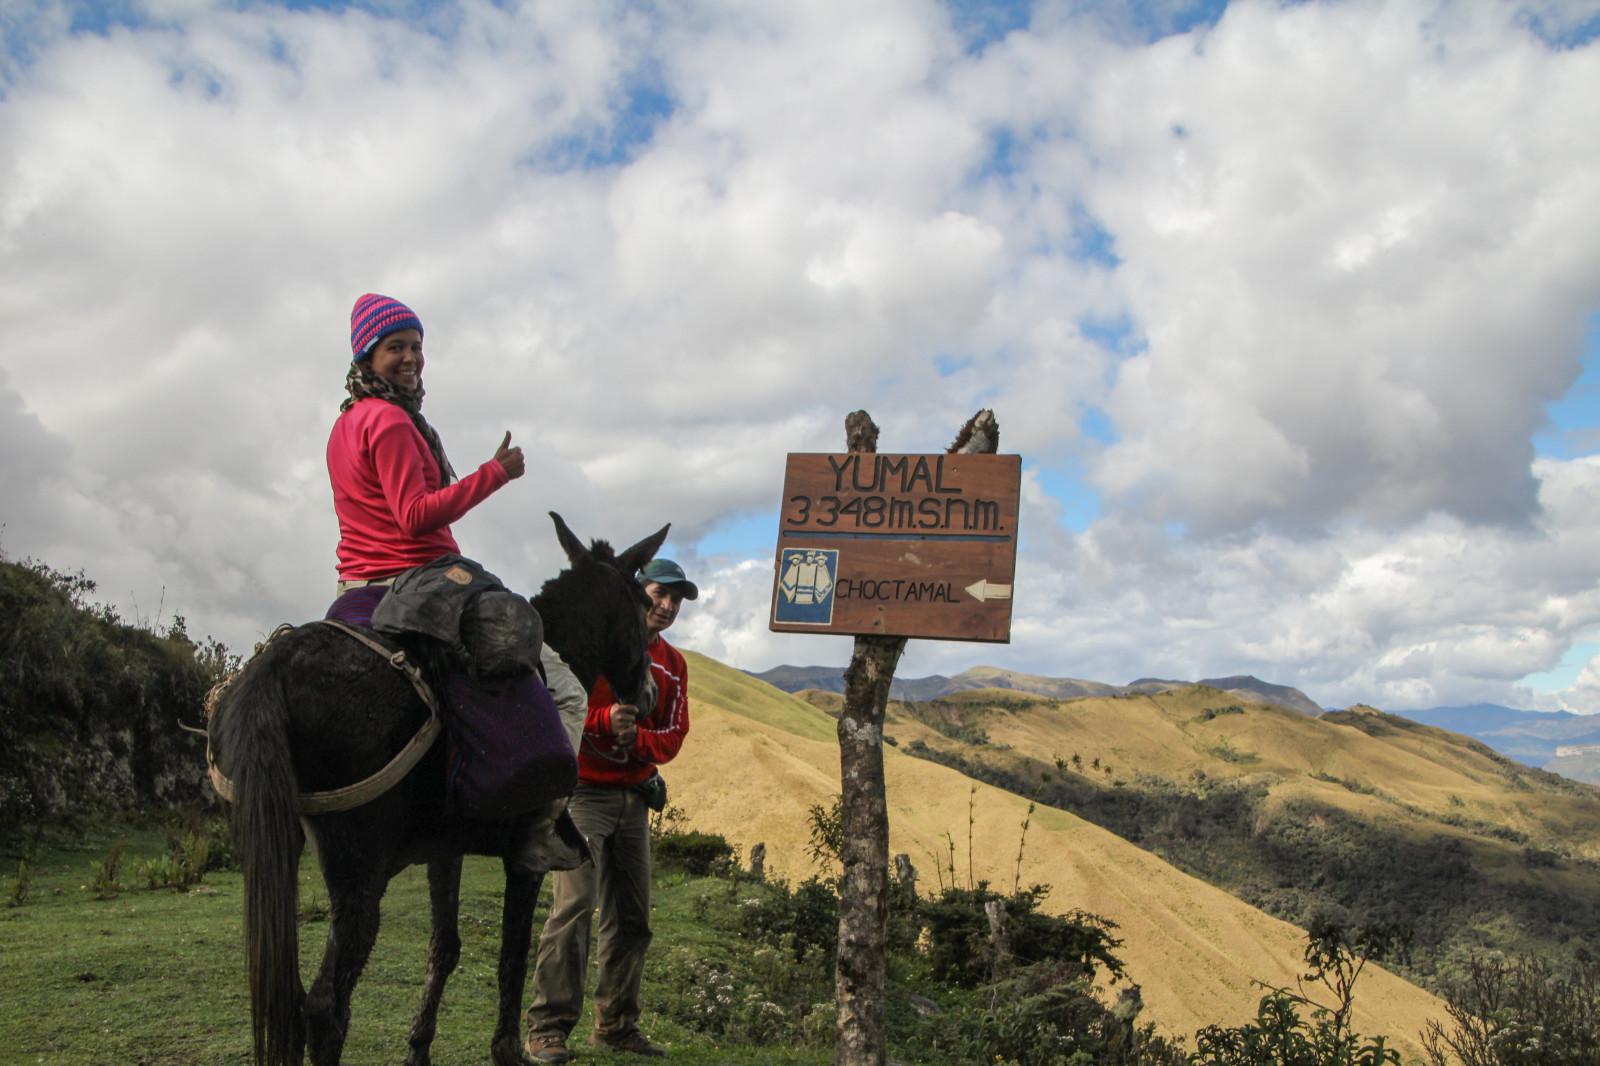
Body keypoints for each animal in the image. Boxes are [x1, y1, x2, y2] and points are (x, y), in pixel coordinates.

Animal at [208, 513, 668, 1066]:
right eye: (643, 605)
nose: (650, 694)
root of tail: (277, 660)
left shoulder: (444, 850)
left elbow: (444, 947)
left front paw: (418, 1050)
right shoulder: (526, 862)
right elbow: (513, 956)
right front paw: (507, 1050)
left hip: (282, 844)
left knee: (293, 999)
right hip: (359, 866)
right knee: (324, 1006)